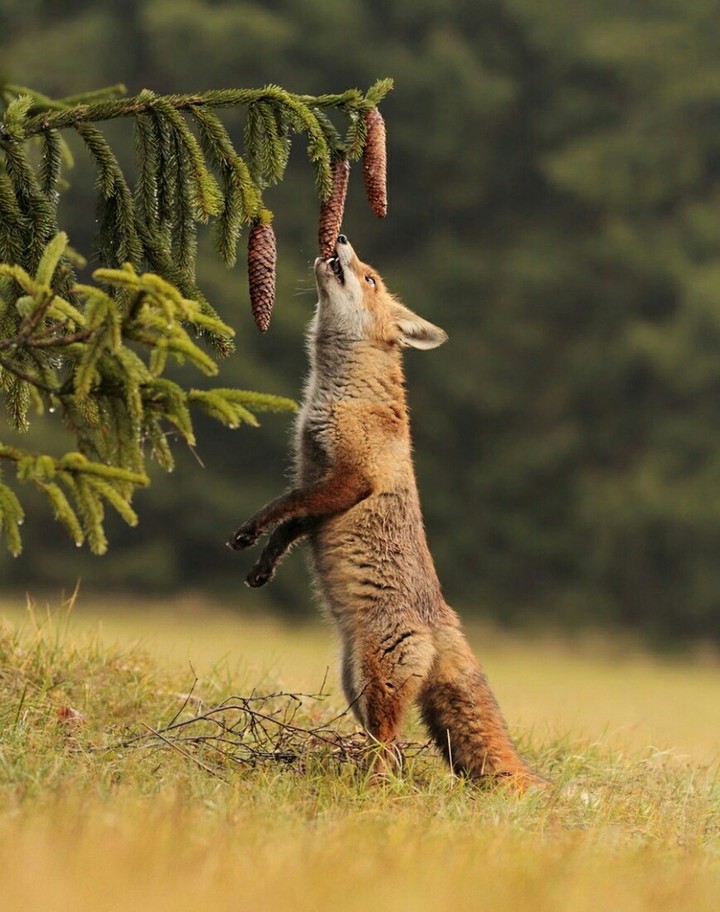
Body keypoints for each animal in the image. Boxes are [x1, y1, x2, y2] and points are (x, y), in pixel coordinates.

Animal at [228, 234, 545, 790]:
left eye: (370, 278)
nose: (339, 238)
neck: (339, 392)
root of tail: (444, 618)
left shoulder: (352, 478)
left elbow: (282, 508)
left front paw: (250, 530)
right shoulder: (320, 483)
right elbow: (291, 528)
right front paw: (264, 565)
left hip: (376, 686)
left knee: (387, 748)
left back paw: (363, 787)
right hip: (353, 683)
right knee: (393, 753)